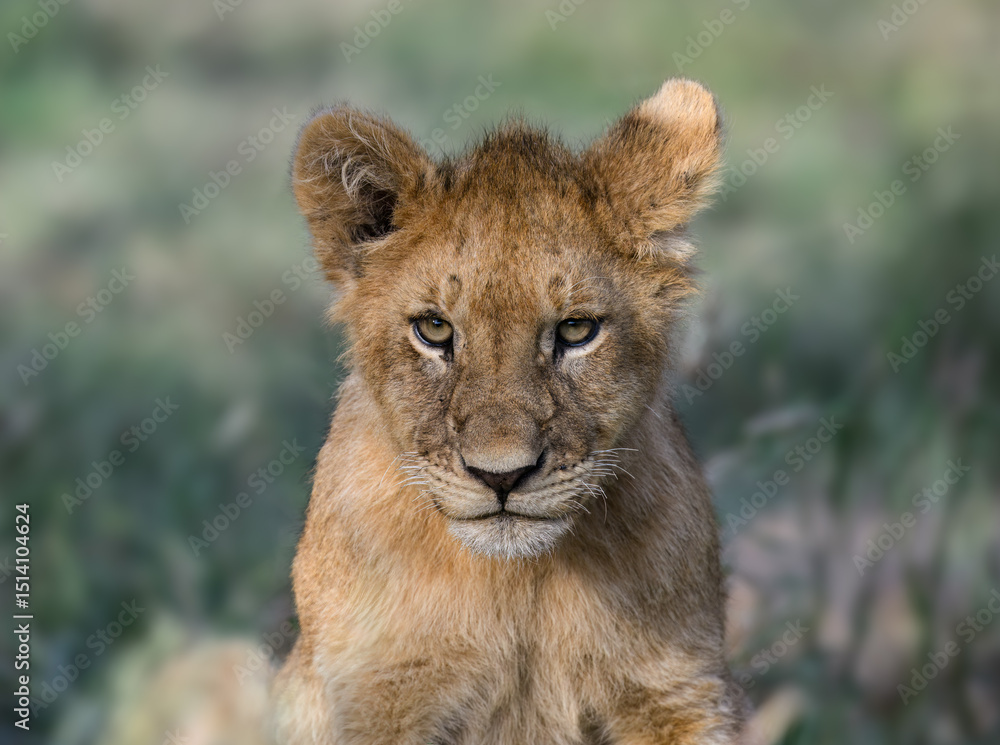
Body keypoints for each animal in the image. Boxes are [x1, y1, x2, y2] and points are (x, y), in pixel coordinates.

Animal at [273, 78, 747, 744]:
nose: (502, 476)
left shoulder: (677, 692)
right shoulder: (375, 695)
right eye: (434, 329)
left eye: (576, 329)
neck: (517, 582)